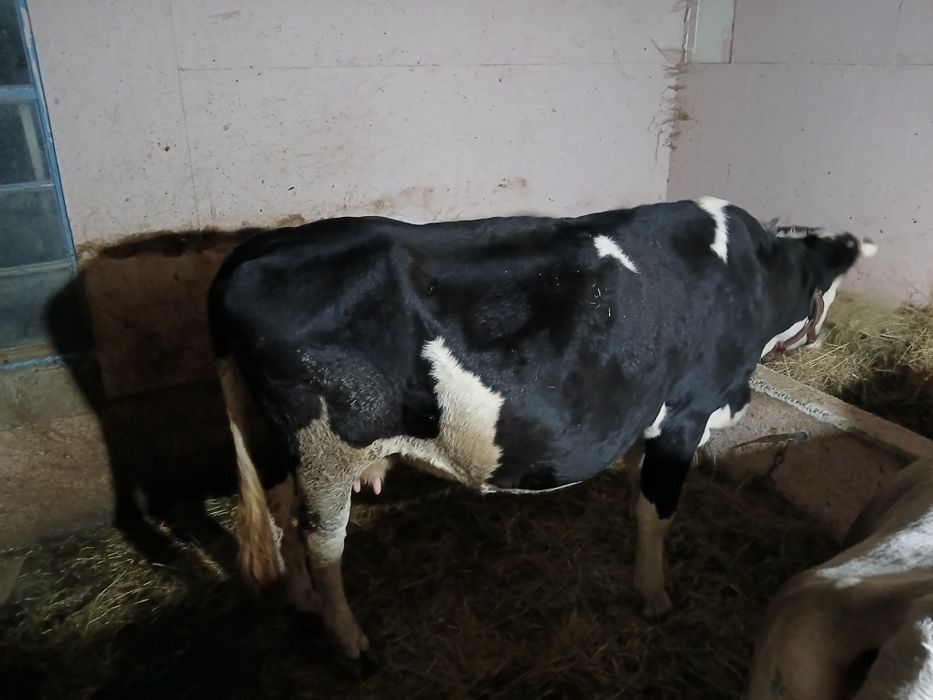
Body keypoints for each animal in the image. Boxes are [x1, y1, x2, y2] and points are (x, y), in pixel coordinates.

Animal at [207, 197, 876, 662]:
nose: (820, 336)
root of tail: (254, 251)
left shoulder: (645, 419)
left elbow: (636, 491)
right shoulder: (685, 415)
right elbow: (657, 514)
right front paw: (653, 595)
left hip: (279, 443)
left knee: (280, 515)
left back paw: (301, 603)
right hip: (324, 445)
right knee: (323, 542)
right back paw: (350, 639)